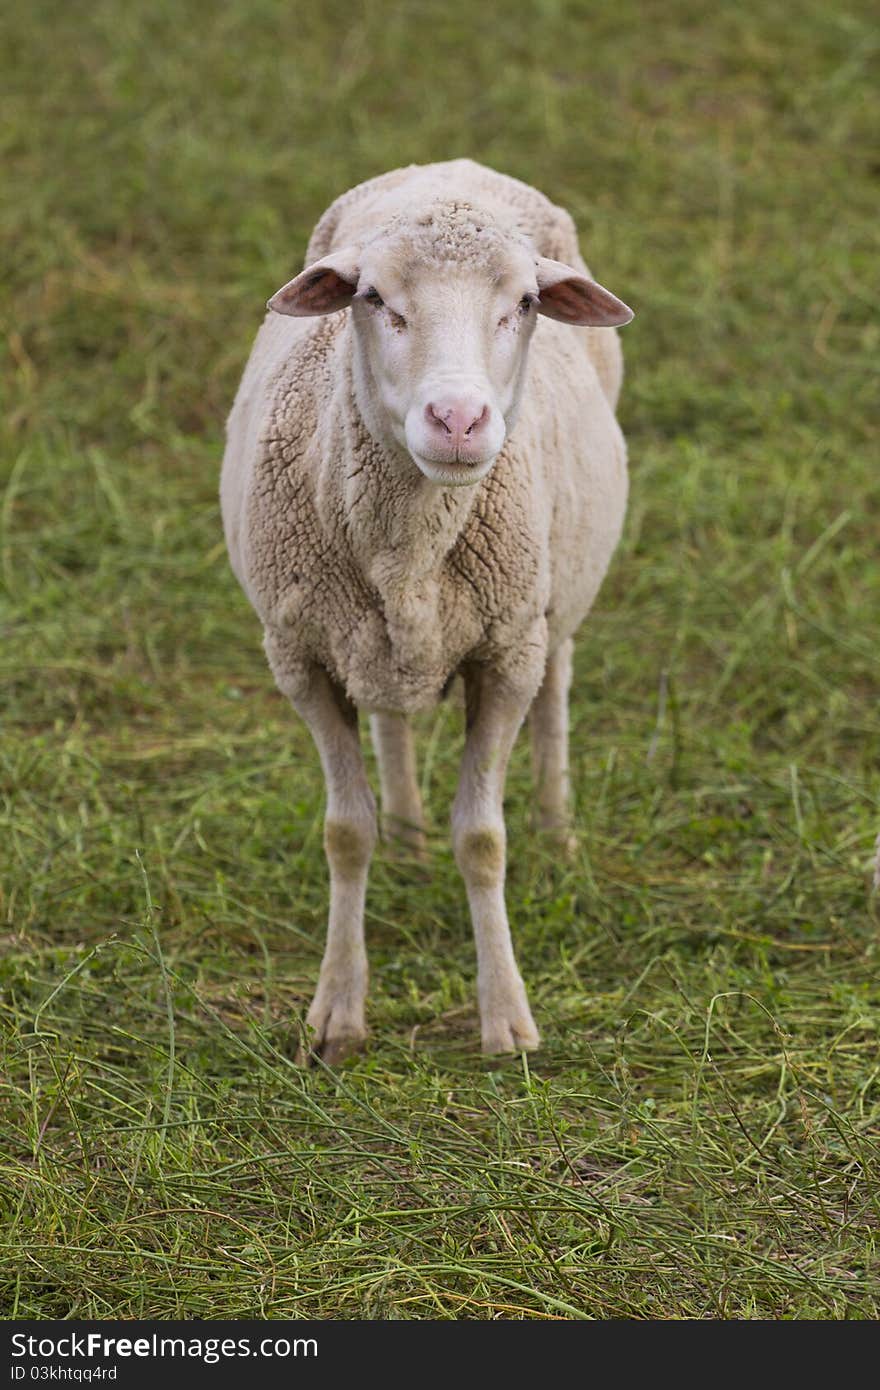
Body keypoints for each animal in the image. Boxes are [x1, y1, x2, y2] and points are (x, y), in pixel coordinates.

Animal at [219, 157, 631, 1056]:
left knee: (559, 686)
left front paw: (505, 1017)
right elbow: (345, 833)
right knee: (392, 720)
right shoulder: (300, 656)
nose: (458, 418)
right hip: (367, 636)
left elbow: (482, 838)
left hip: (560, 588)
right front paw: (337, 1013)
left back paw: (557, 828)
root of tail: (452, 168)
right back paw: (406, 835)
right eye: (374, 298)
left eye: (525, 303)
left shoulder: (508, 653)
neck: (409, 544)